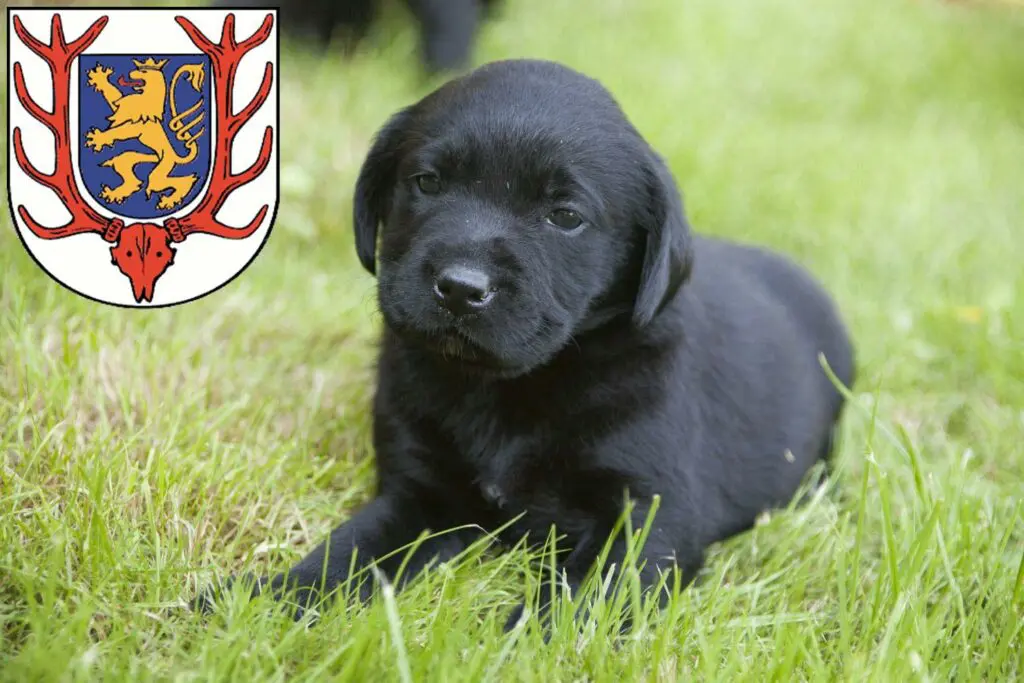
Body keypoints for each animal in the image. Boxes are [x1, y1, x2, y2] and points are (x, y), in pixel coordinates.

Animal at [87, 60, 208, 211]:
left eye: (144, 71)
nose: (131, 72)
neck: (146, 100)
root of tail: (175, 155)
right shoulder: (123, 108)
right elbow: (114, 96)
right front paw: (100, 78)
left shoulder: (134, 126)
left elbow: (117, 131)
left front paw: (99, 138)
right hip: (140, 158)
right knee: (132, 177)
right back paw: (116, 193)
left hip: (163, 164)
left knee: (161, 181)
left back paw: (169, 200)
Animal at [201, 60, 856, 630]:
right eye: (427, 183)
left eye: (564, 216)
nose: (460, 288)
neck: (508, 386)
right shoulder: (420, 492)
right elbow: (349, 551)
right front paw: (267, 601)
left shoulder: (651, 513)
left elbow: (586, 595)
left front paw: (521, 641)